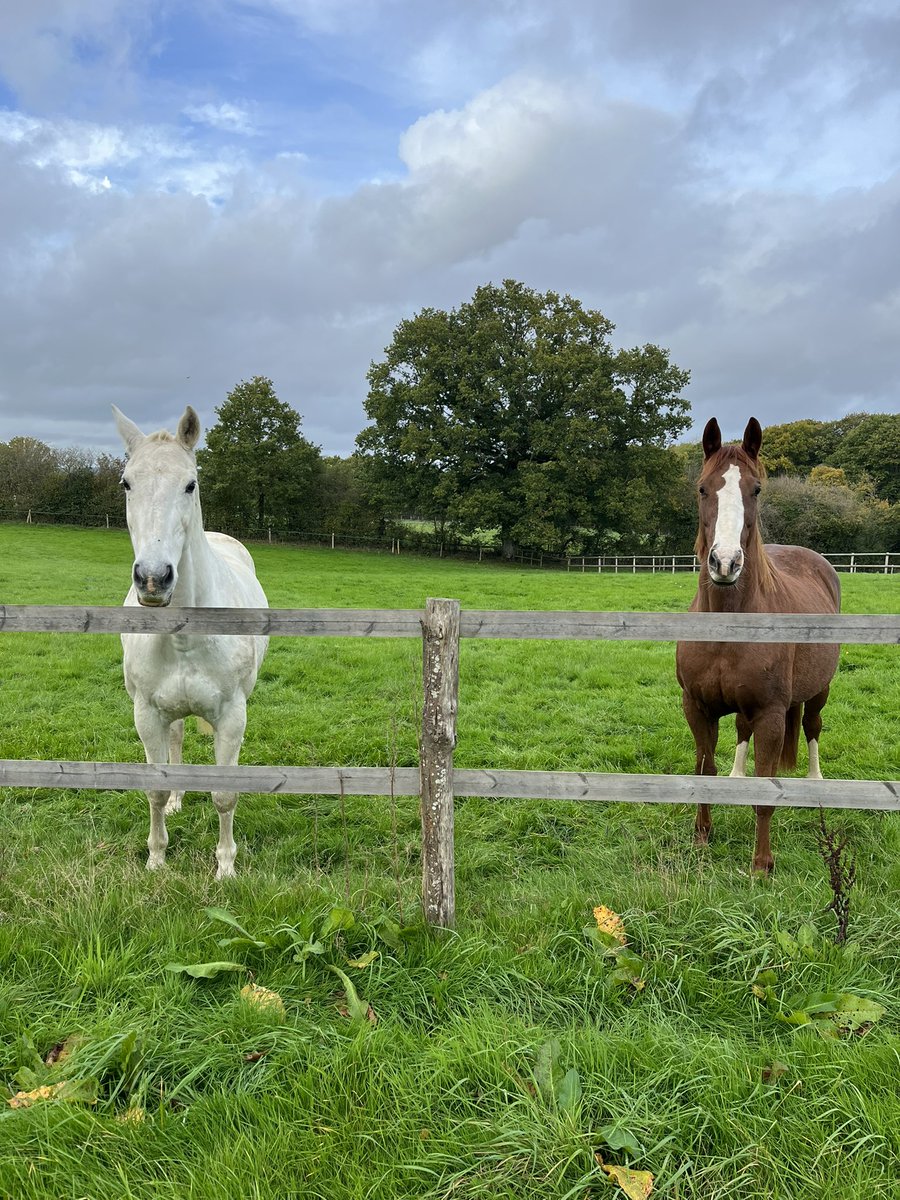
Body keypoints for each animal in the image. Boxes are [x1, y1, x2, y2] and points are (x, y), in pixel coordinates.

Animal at [113, 405, 269, 879]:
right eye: (127, 483)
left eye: (190, 484)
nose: (153, 578)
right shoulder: (146, 715)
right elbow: (156, 789)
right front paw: (156, 860)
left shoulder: (233, 717)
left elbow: (224, 794)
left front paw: (226, 869)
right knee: (178, 741)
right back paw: (179, 801)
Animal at [675, 416, 841, 873]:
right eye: (702, 488)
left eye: (757, 489)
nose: (725, 563)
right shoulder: (697, 708)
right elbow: (705, 771)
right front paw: (701, 838)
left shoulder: (770, 714)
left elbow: (766, 793)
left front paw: (761, 864)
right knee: (741, 731)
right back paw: (738, 776)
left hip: (819, 691)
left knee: (812, 727)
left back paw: (815, 784)